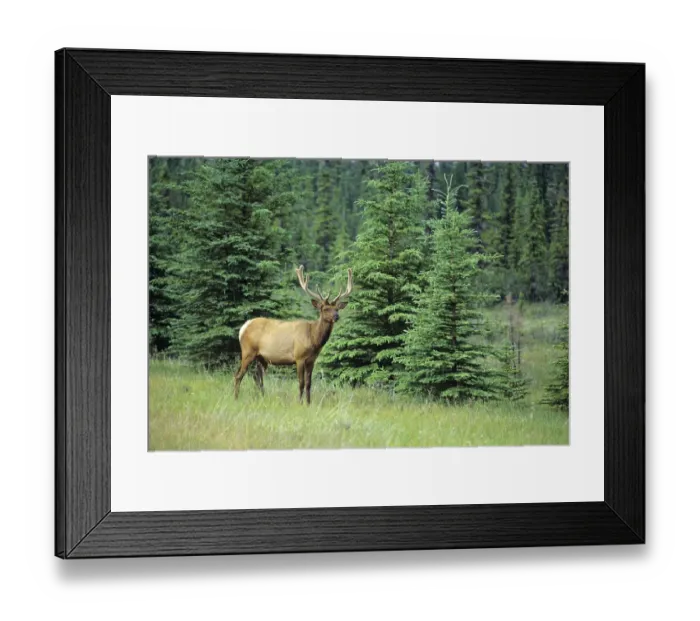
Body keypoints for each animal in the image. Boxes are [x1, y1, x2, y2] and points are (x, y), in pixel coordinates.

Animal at [234, 265, 353, 404]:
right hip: (248, 351)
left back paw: (261, 398)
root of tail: (243, 328)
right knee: (238, 375)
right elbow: (301, 383)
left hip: (261, 357)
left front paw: (309, 403)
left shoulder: (312, 360)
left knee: (257, 378)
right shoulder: (299, 357)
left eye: (337, 309)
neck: (313, 339)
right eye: (325, 309)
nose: (336, 316)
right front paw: (300, 403)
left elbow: (309, 384)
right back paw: (236, 398)